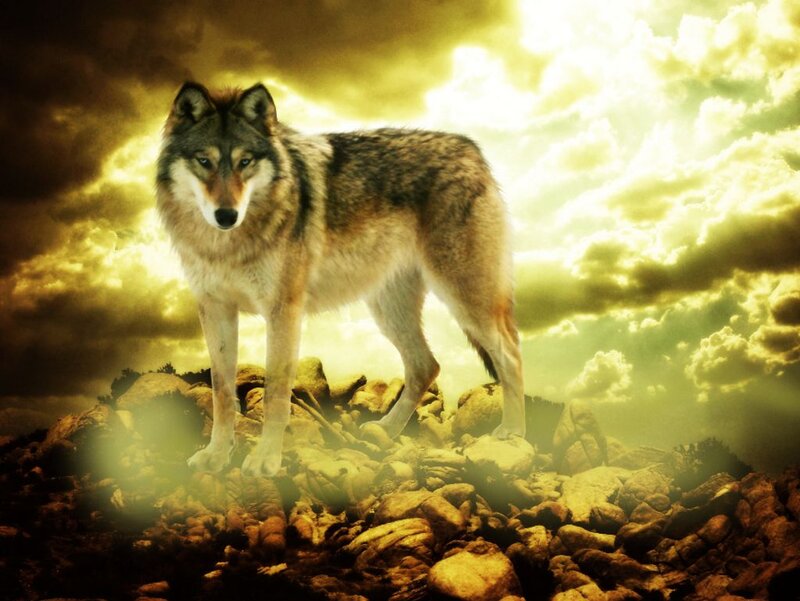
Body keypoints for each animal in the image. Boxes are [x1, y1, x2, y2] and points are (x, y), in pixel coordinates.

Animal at [156, 82, 525, 477]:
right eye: (204, 161)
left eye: (245, 162)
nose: (226, 215)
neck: (227, 245)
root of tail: (471, 149)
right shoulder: (216, 309)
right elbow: (222, 392)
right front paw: (216, 455)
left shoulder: (283, 311)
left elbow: (276, 393)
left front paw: (265, 459)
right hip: (389, 310)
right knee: (427, 365)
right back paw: (387, 431)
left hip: (465, 300)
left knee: (510, 353)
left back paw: (515, 434)